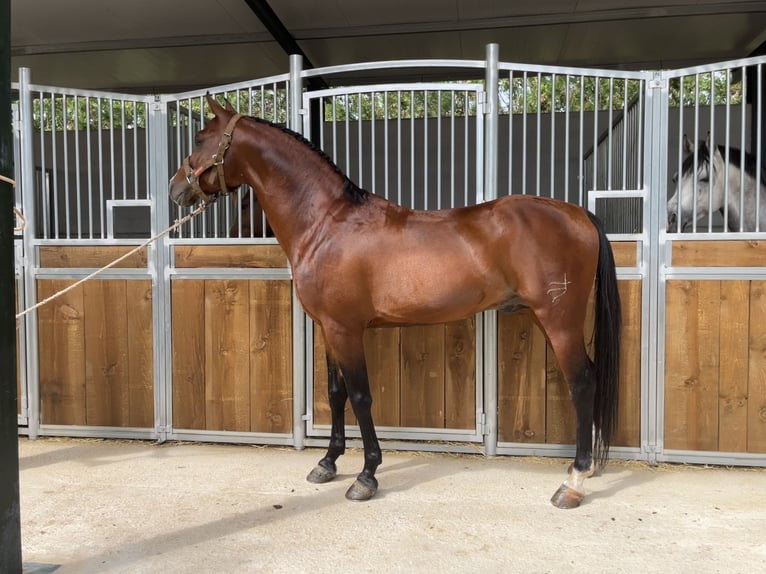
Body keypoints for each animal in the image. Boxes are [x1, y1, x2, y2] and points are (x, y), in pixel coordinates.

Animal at [170, 97, 624, 510]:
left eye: (200, 138)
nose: (176, 189)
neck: (326, 223)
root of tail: (578, 214)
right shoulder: (328, 328)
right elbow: (335, 394)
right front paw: (327, 463)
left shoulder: (346, 329)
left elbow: (360, 396)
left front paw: (366, 476)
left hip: (559, 321)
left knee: (582, 383)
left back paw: (574, 481)